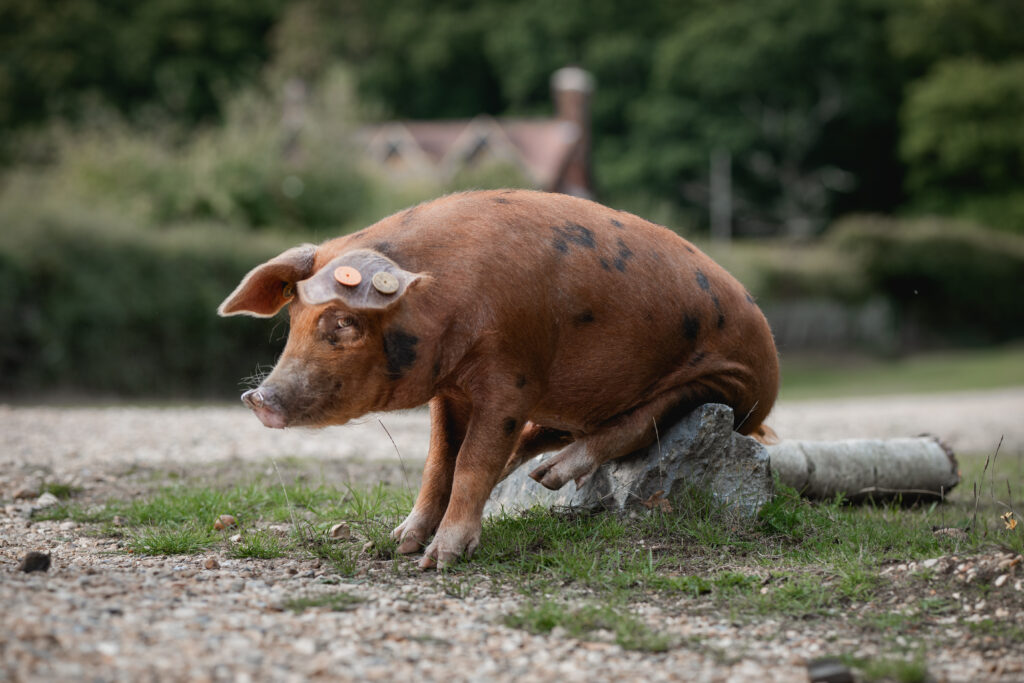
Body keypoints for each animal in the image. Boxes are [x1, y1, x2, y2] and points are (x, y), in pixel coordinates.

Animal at [218, 189, 774, 569]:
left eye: (344, 323)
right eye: (293, 317)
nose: (257, 398)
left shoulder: (513, 377)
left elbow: (471, 461)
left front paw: (439, 561)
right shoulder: (449, 392)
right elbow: (438, 462)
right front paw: (394, 545)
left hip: (720, 384)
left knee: (637, 425)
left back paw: (550, 478)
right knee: (548, 434)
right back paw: (534, 475)